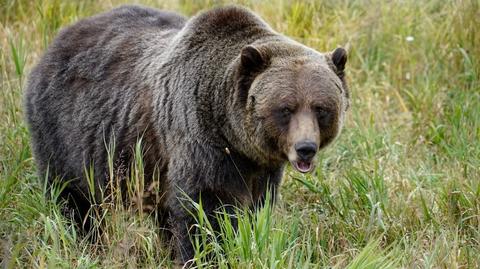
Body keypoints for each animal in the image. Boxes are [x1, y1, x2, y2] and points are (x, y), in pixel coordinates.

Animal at [23, 4, 348, 262]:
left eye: (321, 108)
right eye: (286, 108)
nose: (305, 148)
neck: (231, 134)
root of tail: (57, 41)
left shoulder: (259, 166)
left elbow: (256, 208)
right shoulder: (199, 142)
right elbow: (203, 211)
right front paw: (209, 253)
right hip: (65, 131)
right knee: (73, 198)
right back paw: (86, 244)